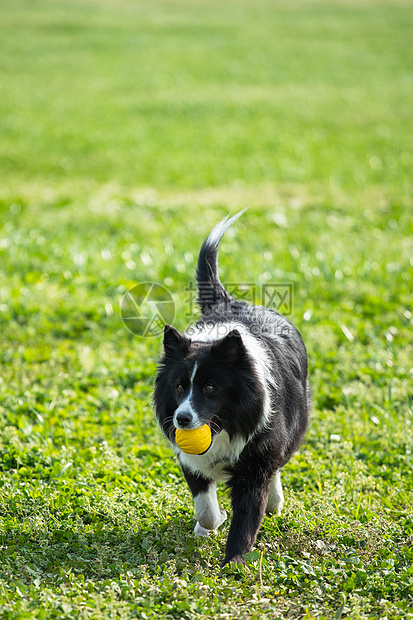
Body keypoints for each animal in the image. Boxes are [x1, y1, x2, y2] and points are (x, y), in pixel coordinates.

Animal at [154, 211, 308, 564]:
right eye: (179, 386)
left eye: (211, 387)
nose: (182, 419)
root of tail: (229, 301)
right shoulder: (190, 460)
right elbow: (206, 506)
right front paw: (209, 525)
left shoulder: (256, 463)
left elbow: (248, 516)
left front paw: (234, 563)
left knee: (279, 465)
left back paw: (275, 501)